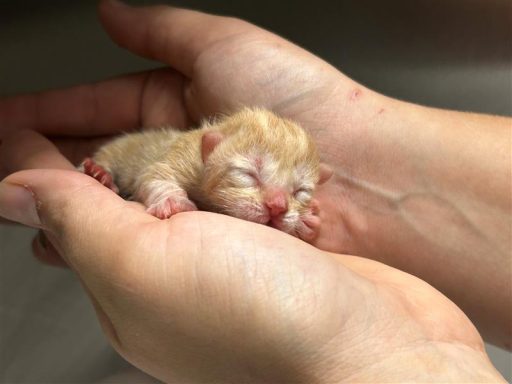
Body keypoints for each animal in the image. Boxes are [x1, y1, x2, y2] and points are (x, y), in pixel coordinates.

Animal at [81, 106, 332, 242]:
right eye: (248, 174)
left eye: (301, 191)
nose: (278, 207)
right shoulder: (184, 156)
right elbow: (156, 174)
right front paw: (172, 201)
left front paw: (308, 221)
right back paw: (100, 172)